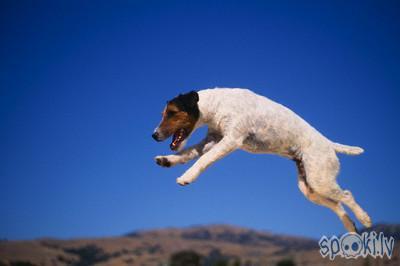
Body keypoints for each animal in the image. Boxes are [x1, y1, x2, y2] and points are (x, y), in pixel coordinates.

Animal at [152, 88, 372, 232]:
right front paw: (166, 160)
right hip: (309, 188)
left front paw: (187, 176)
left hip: (320, 180)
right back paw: (351, 226)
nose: (153, 135)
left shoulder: (231, 140)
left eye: (172, 113)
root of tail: (329, 144)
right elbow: (188, 153)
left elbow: (203, 160)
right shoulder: (212, 139)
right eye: (164, 113)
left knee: (347, 195)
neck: (216, 104)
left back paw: (365, 219)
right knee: (337, 204)